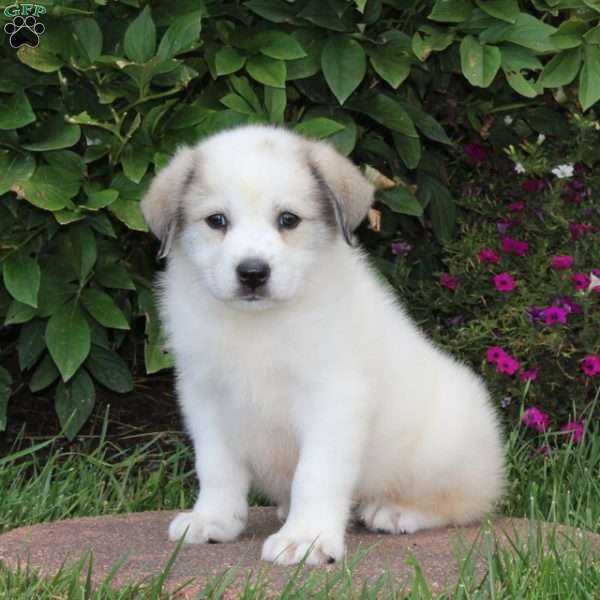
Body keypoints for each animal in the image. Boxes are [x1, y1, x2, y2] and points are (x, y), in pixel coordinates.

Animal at [142, 124, 506, 564]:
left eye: (288, 219)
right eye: (216, 220)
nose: (252, 273)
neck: (259, 325)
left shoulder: (332, 399)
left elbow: (315, 475)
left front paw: (307, 539)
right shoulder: (206, 399)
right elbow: (216, 468)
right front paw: (213, 520)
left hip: (442, 450)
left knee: (465, 502)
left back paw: (396, 511)